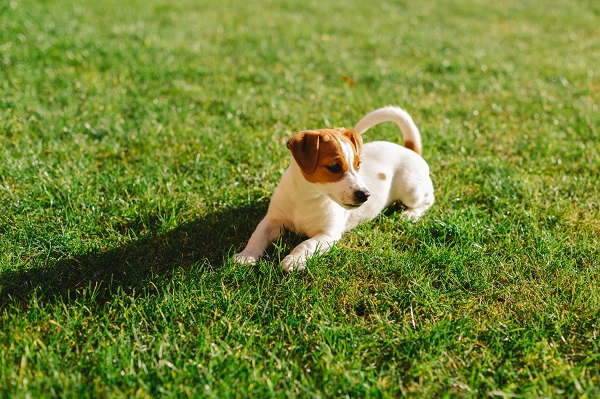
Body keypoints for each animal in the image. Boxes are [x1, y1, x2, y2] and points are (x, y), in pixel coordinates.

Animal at [232, 104, 434, 272]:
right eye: (335, 167)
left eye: (358, 164)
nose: (365, 195)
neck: (306, 197)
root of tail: (409, 149)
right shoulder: (273, 221)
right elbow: (257, 235)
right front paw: (246, 255)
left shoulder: (327, 234)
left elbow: (306, 244)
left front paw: (294, 260)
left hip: (411, 190)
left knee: (428, 199)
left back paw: (411, 214)